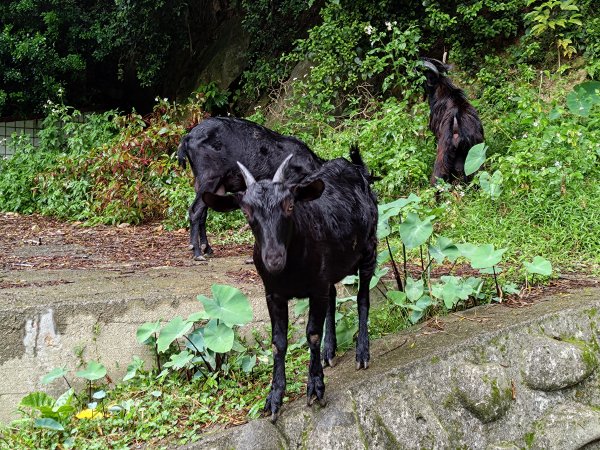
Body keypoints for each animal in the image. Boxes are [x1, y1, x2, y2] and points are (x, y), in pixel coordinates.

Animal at [177, 116, 324, 260]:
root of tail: (187, 138)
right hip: (210, 179)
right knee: (194, 211)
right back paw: (196, 252)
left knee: (202, 213)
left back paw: (207, 248)